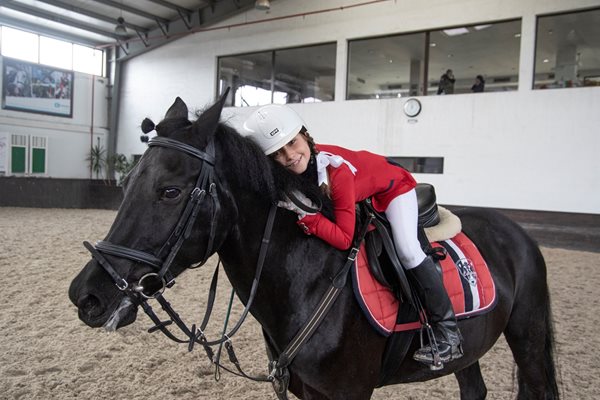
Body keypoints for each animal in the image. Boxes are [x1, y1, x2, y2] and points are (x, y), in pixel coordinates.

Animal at [69, 95, 556, 398]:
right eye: (126, 183)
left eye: (169, 192)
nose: (86, 295)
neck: (305, 282)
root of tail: (513, 229)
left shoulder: (346, 392)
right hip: (473, 346)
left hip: (527, 338)